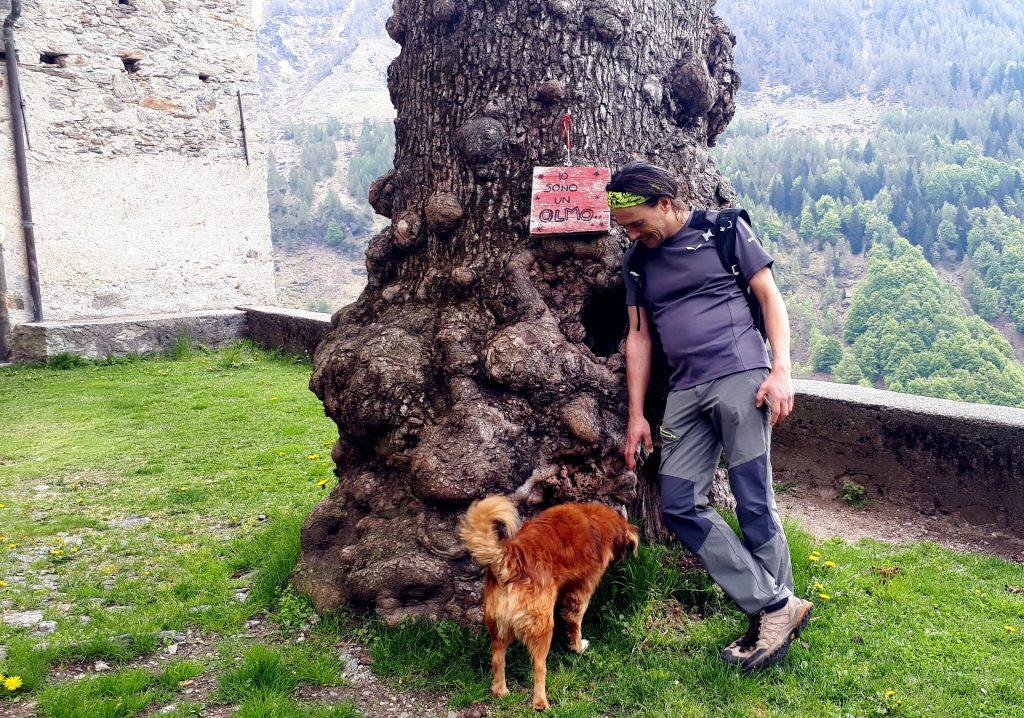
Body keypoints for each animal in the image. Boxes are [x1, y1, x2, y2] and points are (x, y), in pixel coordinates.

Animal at [458, 495, 634, 708]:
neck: (596, 519)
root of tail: (511, 558)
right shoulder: (582, 589)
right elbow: (575, 622)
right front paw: (578, 647)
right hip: (542, 627)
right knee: (539, 668)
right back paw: (541, 703)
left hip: (498, 627)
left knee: (497, 660)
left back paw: (501, 691)